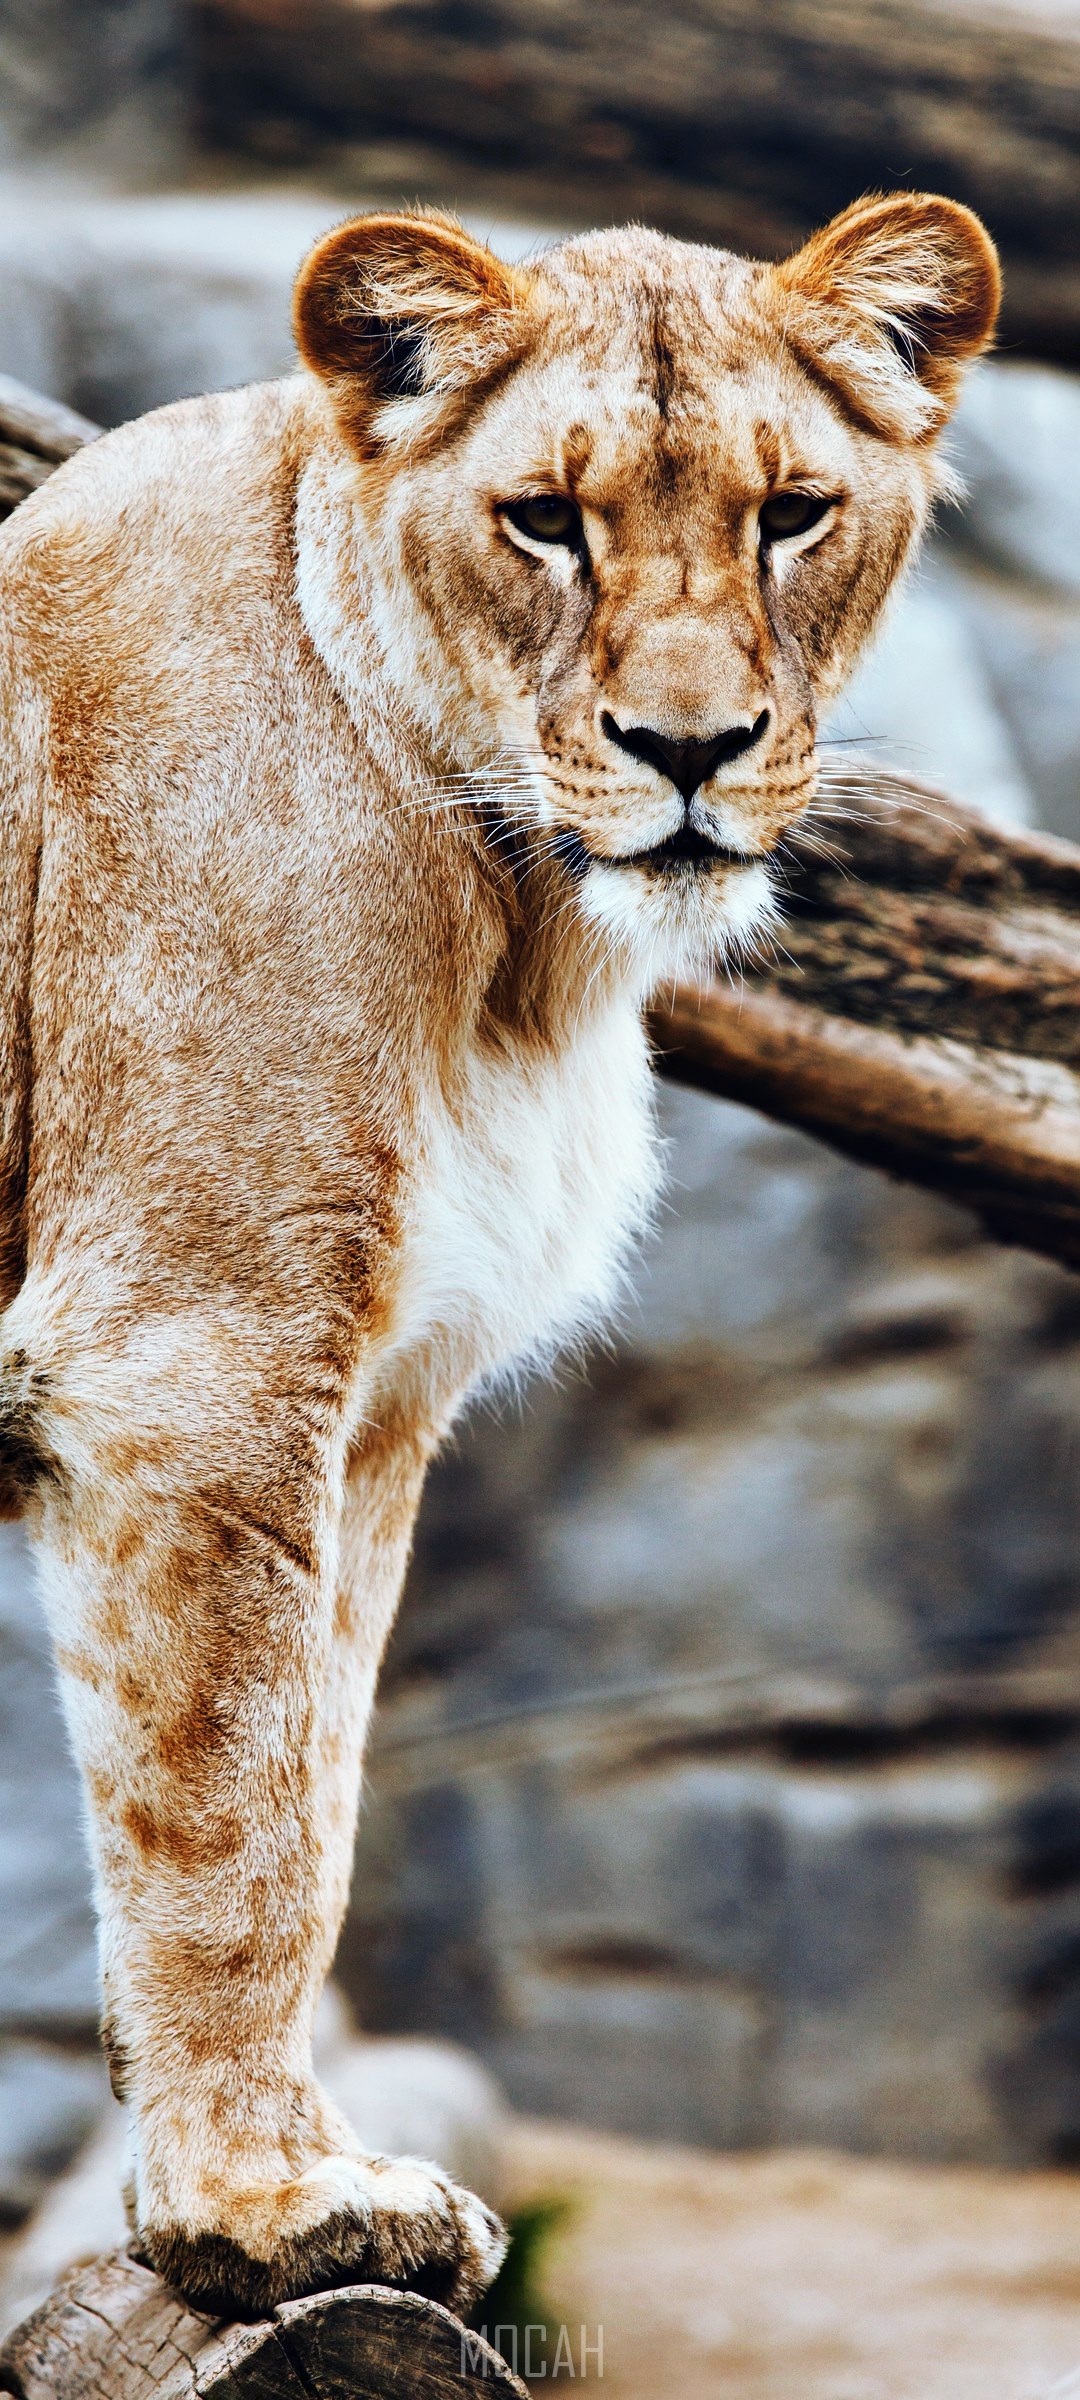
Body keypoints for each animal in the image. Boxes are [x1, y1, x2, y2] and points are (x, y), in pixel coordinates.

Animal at [0, 192, 998, 2317]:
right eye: (546, 518)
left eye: (793, 513)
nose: (691, 749)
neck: (519, 932)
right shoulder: (191, 1361)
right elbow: (227, 1813)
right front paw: (258, 2208)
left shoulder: (371, 1407)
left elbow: (320, 1790)